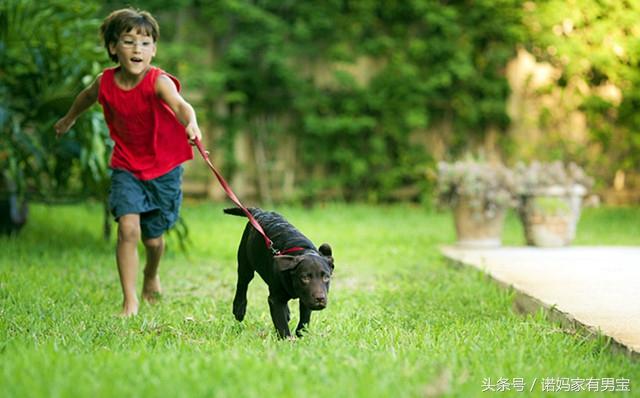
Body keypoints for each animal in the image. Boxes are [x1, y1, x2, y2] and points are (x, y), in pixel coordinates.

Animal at [224, 208, 336, 338]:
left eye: (326, 277)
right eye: (304, 278)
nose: (320, 298)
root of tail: (260, 211)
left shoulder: (305, 298)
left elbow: (305, 318)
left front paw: (301, 334)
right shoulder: (275, 300)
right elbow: (281, 322)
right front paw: (287, 339)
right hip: (245, 262)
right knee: (242, 284)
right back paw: (239, 309)